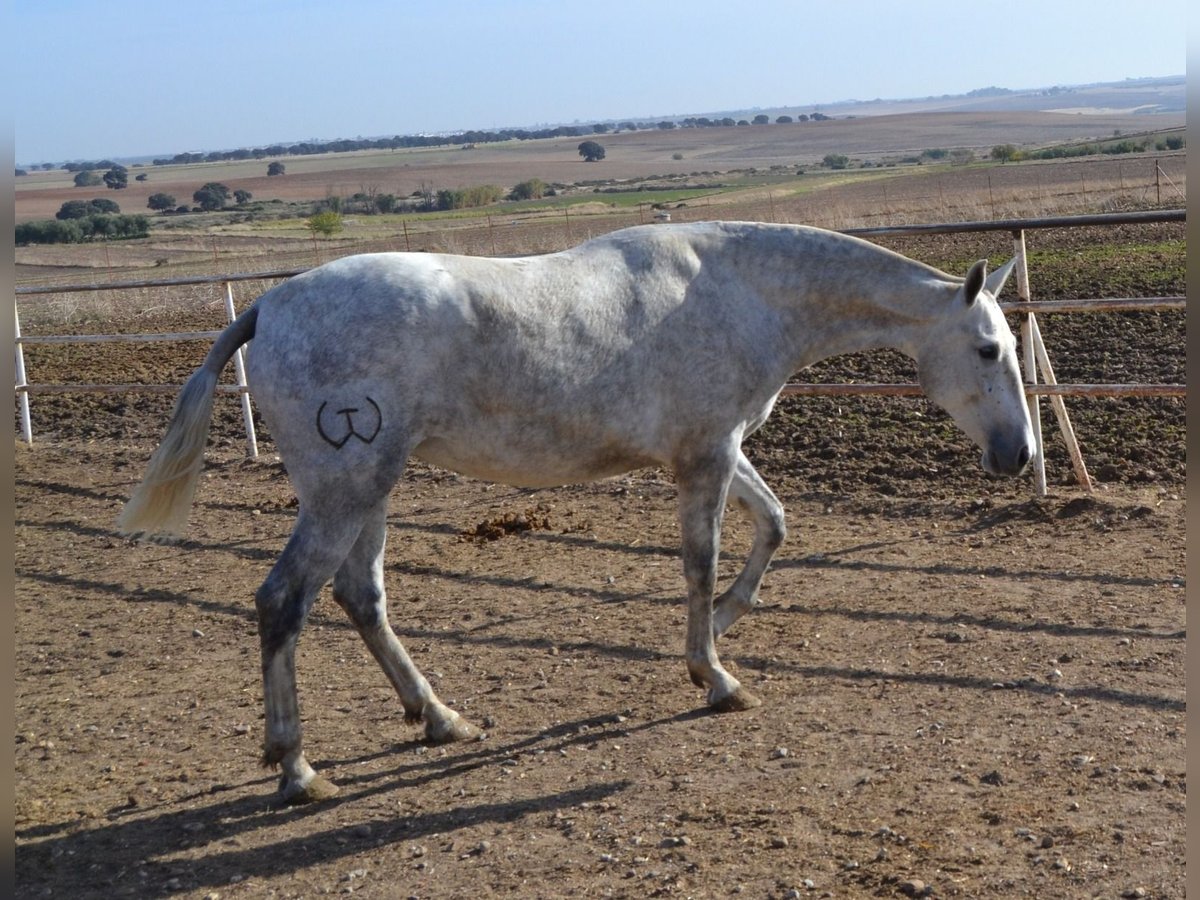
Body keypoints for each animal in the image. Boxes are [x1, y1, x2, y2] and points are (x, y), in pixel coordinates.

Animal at [117, 220, 1032, 801]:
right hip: (347, 488)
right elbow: (700, 564)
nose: (1019, 455)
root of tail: (266, 306)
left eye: (1015, 348)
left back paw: (440, 720)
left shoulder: (717, 449)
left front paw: (724, 628)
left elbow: (773, 524)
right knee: (284, 602)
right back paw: (299, 771)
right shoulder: (705, 459)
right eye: (988, 349)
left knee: (359, 597)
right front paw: (715, 676)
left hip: (369, 489)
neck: (739, 293)